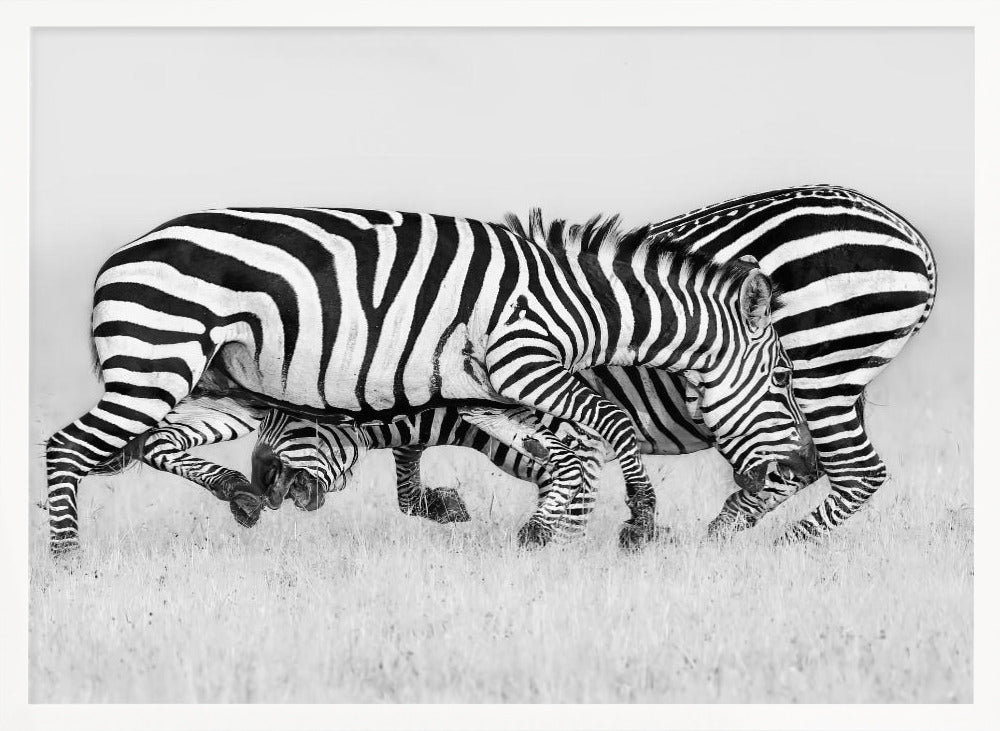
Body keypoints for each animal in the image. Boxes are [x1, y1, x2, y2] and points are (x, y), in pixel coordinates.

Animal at [45, 206, 813, 553]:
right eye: (783, 380)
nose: (806, 466)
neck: (584, 303)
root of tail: (118, 256)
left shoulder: (489, 390)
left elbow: (559, 450)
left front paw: (548, 529)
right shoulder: (524, 359)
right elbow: (610, 426)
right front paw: (640, 521)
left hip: (212, 380)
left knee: (156, 443)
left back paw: (238, 492)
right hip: (157, 362)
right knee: (66, 447)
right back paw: (68, 561)